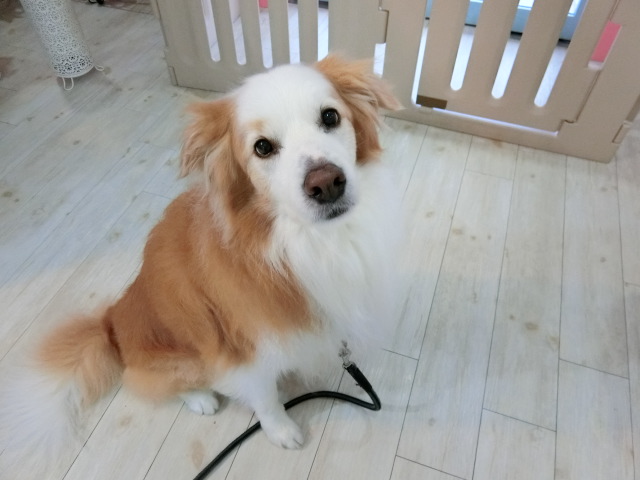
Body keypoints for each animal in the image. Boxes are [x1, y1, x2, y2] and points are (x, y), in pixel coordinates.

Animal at [0, 55, 403, 461]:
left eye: (330, 117)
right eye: (262, 147)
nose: (326, 183)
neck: (300, 238)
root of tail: (110, 324)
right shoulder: (241, 353)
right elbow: (265, 398)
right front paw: (281, 430)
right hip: (183, 360)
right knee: (147, 381)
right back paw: (201, 399)